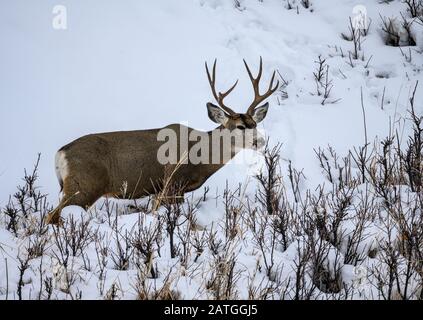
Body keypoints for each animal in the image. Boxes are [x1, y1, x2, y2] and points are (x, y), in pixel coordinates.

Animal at [45, 57, 278, 224]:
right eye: (240, 126)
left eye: (254, 123)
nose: (260, 141)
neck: (200, 155)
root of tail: (61, 153)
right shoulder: (171, 184)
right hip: (83, 186)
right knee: (52, 216)